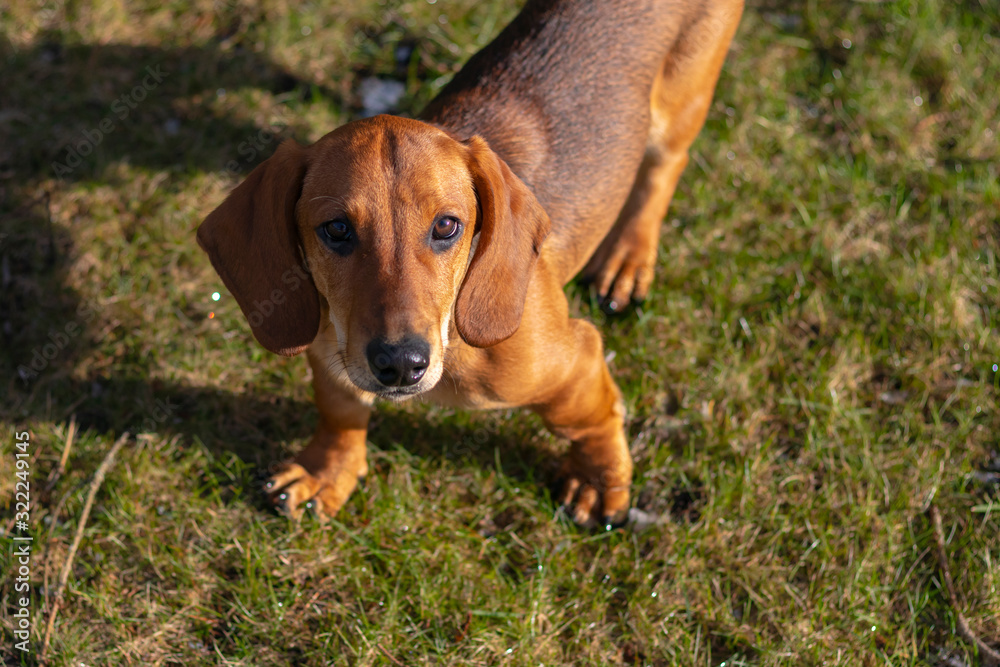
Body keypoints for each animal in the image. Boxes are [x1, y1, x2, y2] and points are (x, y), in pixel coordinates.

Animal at [197, 0, 744, 528]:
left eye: (446, 226)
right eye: (335, 229)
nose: (400, 364)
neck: (450, 337)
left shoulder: (576, 361)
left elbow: (593, 420)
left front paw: (599, 483)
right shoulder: (330, 348)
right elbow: (340, 411)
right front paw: (325, 471)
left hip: (684, 98)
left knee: (663, 169)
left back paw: (627, 259)